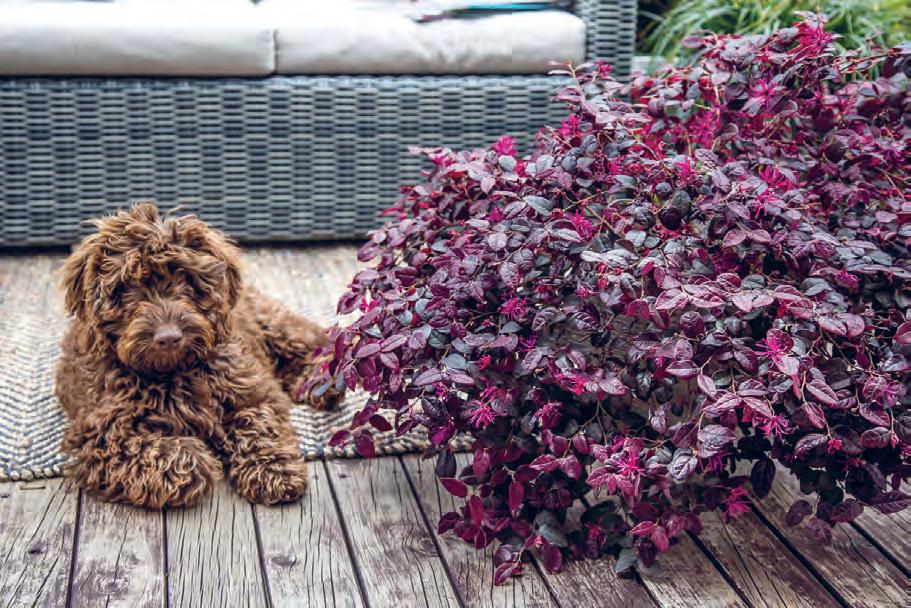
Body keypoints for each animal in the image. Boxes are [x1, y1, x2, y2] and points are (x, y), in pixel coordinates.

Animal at [56, 203, 339, 509]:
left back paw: (322, 384)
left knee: (314, 340)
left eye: (183, 277)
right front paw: (201, 460)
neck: (173, 372)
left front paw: (274, 471)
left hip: (270, 322)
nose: (169, 337)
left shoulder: (252, 390)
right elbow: (165, 452)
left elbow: (258, 424)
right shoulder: (99, 437)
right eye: (128, 286)